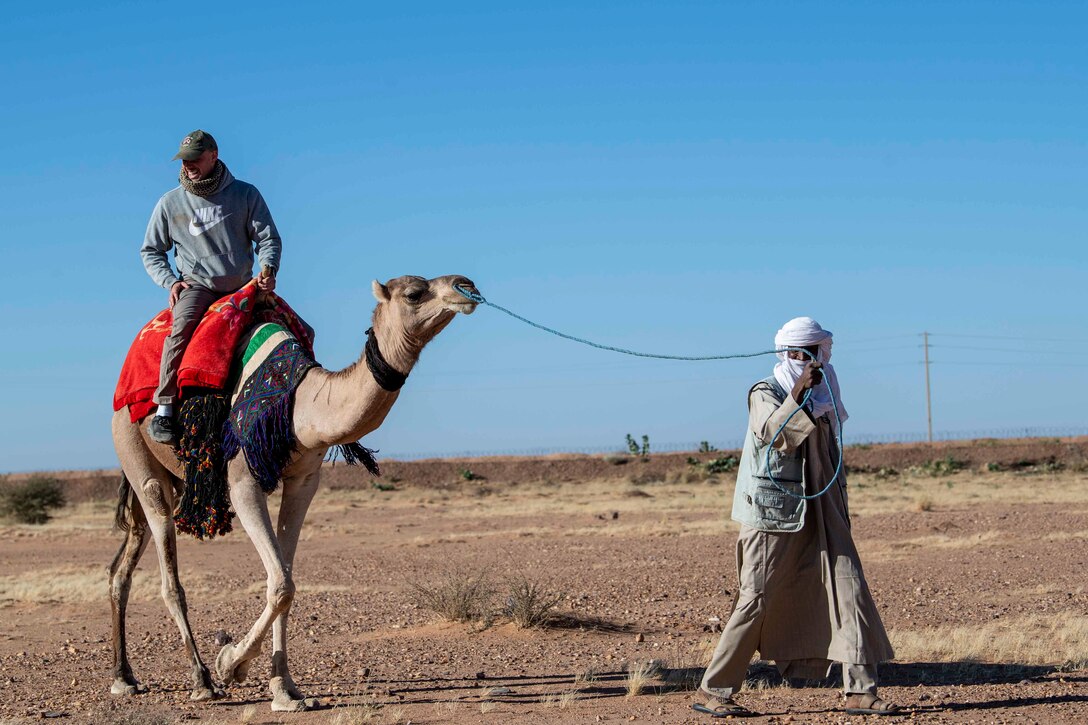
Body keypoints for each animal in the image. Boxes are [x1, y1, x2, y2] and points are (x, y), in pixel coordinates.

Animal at [108, 274, 478, 709]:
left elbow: (285, 580)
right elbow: (281, 583)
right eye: (415, 293)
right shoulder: (242, 480)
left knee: (121, 568)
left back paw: (124, 676)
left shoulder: (304, 480)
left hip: (175, 479)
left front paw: (283, 688)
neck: (301, 404)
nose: (466, 285)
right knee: (169, 575)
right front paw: (230, 663)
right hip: (134, 448)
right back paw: (201, 679)